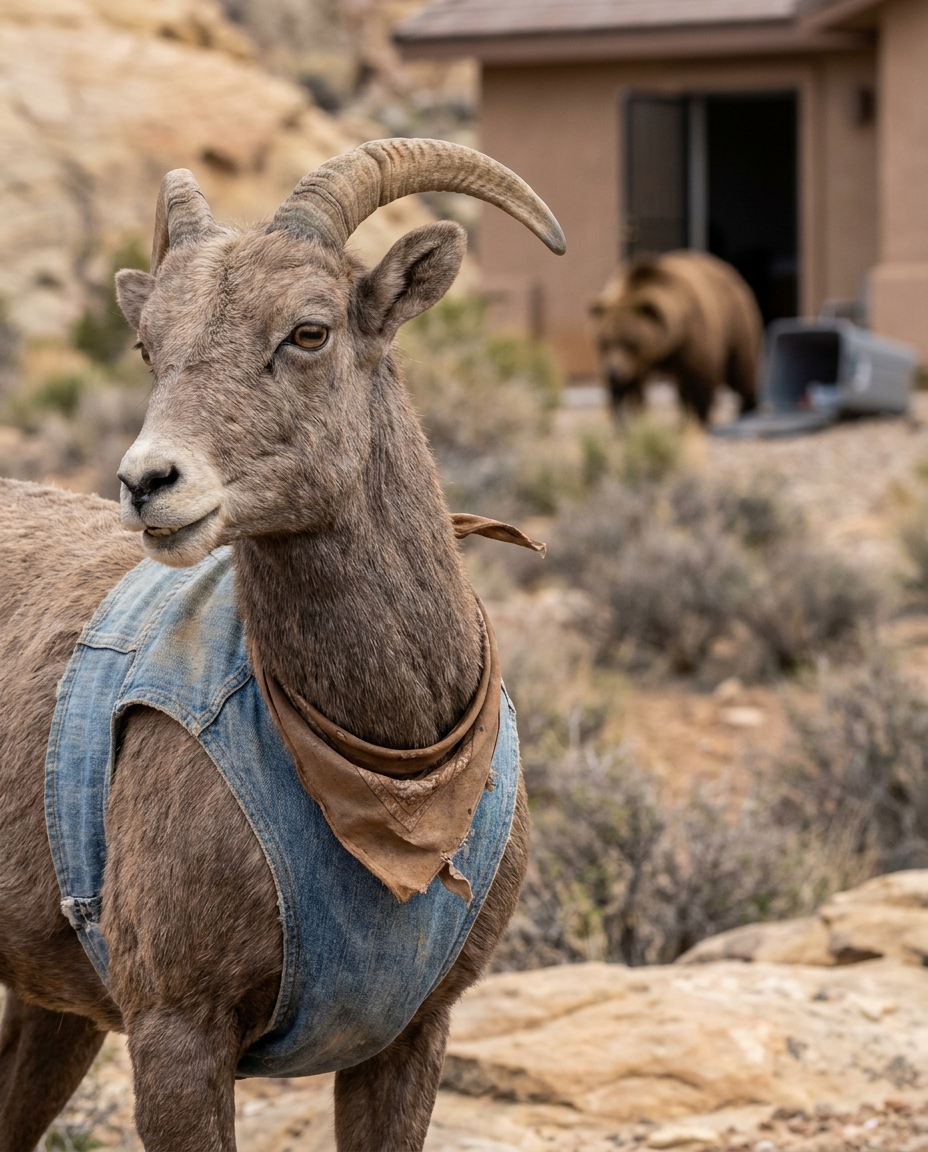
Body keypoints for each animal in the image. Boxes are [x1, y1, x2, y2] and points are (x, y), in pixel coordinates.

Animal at [0, 138, 565, 1152]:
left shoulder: (410, 1039)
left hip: (53, 1016)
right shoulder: (178, 1034)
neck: (387, 771)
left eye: (309, 332)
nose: (149, 483)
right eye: (149, 346)